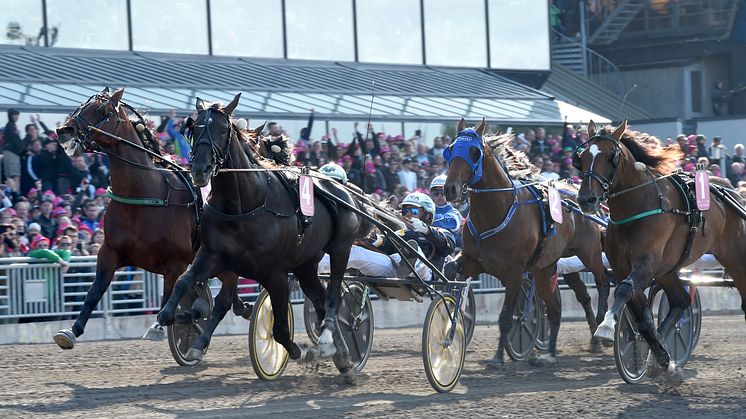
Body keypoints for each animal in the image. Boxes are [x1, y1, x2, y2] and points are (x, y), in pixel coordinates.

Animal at [53, 87, 250, 362]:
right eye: (81, 105)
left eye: (102, 111)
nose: (65, 131)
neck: (143, 195)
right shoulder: (110, 252)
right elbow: (94, 292)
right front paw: (71, 330)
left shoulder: (175, 263)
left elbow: (170, 302)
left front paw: (169, 322)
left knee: (224, 299)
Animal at [148, 94, 370, 378]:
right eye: (195, 128)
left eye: (223, 130)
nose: (200, 170)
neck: (243, 206)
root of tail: (343, 187)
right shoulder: (212, 256)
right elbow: (183, 282)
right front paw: (164, 320)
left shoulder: (275, 274)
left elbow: (279, 328)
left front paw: (300, 352)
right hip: (306, 264)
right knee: (320, 299)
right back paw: (343, 356)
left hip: (341, 248)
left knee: (333, 297)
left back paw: (330, 338)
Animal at [442, 119, 612, 368]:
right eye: (451, 149)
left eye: (474, 152)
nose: (450, 189)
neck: (496, 211)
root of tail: (582, 199)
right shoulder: (475, 260)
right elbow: (452, 268)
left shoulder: (515, 270)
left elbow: (506, 316)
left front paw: (497, 358)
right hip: (547, 267)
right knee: (561, 306)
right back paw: (553, 352)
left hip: (589, 253)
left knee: (603, 281)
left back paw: (601, 328)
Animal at [576, 120, 744, 380]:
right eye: (582, 157)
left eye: (610, 156)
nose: (586, 200)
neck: (637, 206)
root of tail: (730, 188)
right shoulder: (624, 267)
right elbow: (641, 315)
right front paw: (662, 359)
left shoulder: (647, 263)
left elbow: (624, 291)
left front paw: (605, 327)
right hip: (669, 271)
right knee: (681, 301)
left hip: (735, 256)